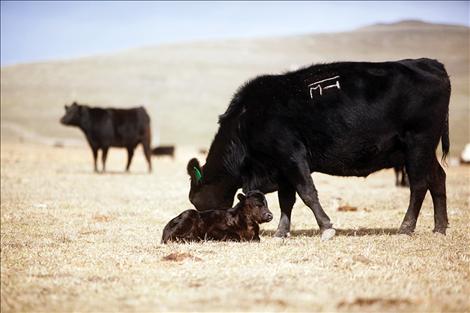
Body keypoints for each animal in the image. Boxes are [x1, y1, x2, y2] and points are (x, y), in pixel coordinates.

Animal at [185, 58, 450, 239]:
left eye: (196, 202)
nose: (204, 224)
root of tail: (429, 63)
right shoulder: (281, 168)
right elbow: (286, 200)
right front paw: (282, 232)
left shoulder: (292, 156)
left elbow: (307, 193)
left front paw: (326, 227)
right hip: (423, 150)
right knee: (437, 178)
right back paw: (439, 227)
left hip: (417, 143)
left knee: (419, 185)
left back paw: (406, 227)